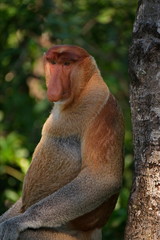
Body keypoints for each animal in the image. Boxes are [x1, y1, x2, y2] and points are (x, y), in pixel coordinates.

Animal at [0, 45, 124, 240]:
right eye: (53, 63)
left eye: (66, 64)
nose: (53, 87)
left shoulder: (102, 109)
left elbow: (103, 177)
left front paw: (18, 221)